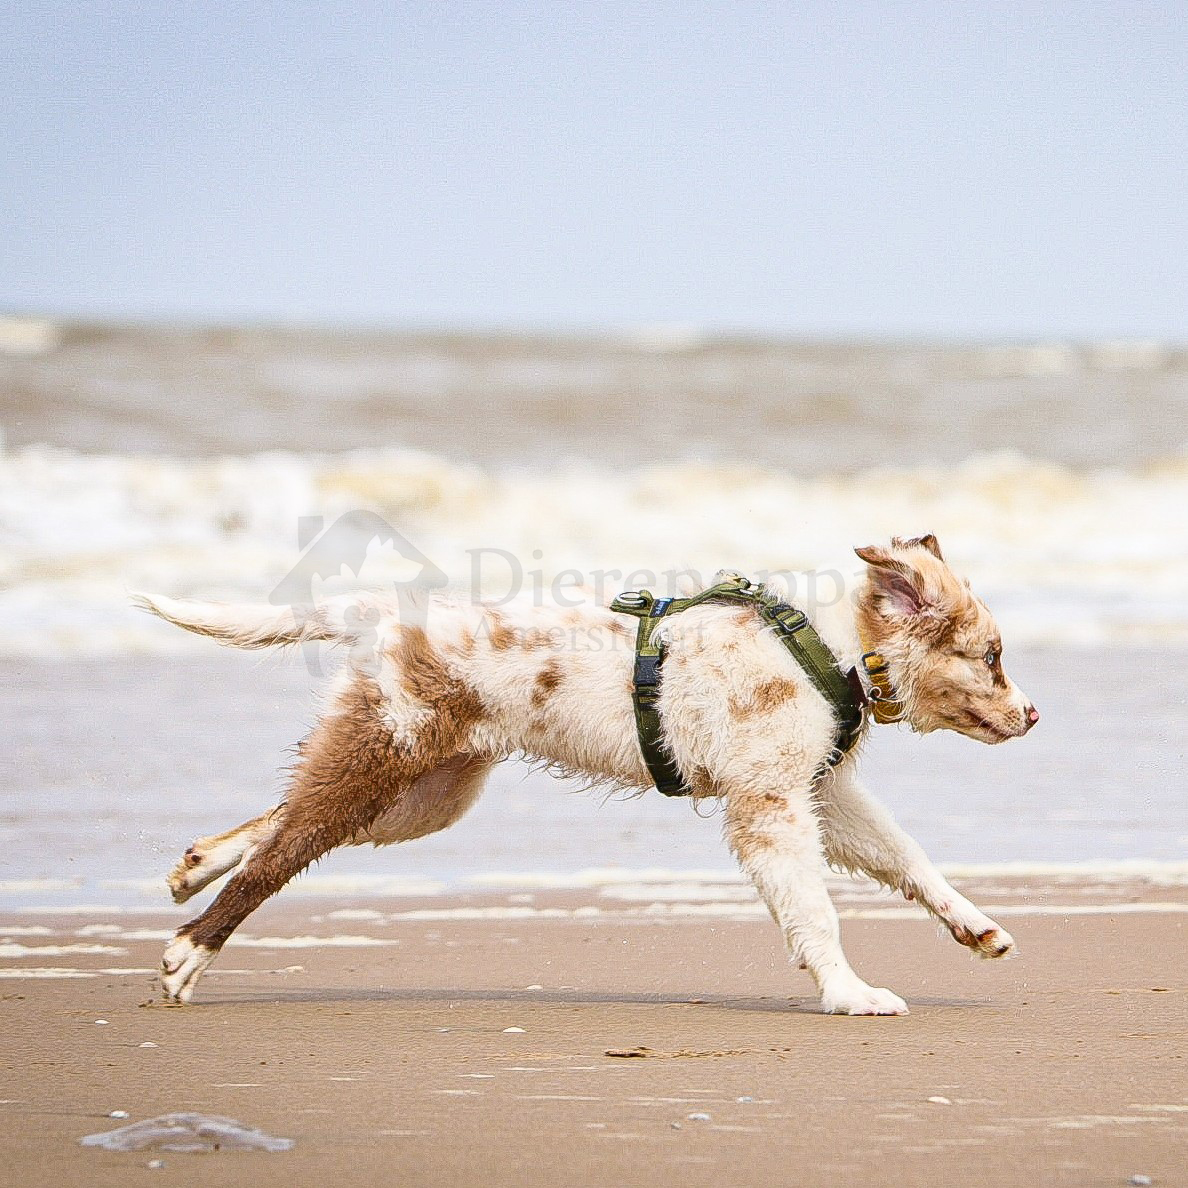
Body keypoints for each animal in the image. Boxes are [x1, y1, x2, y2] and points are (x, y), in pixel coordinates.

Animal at [132, 536, 1040, 1012]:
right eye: (992, 657)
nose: (1035, 716)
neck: (833, 651)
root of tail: (381, 615)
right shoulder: (771, 804)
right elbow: (817, 911)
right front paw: (851, 993)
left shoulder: (822, 789)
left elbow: (909, 858)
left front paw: (975, 926)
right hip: (386, 756)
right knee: (283, 851)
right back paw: (190, 951)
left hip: (424, 795)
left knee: (279, 825)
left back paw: (196, 867)